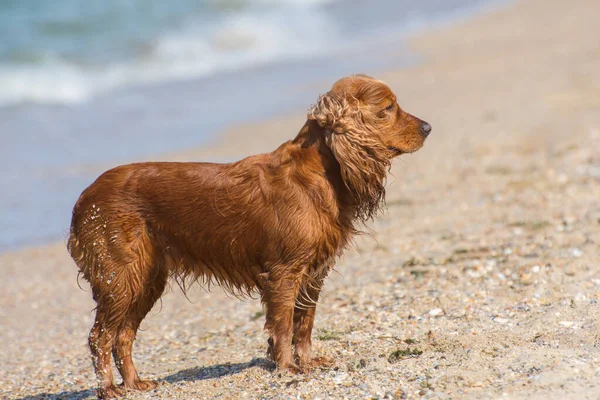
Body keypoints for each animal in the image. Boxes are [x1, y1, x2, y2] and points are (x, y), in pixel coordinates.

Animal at [68, 74, 428, 396]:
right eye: (388, 108)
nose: (428, 127)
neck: (318, 172)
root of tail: (84, 198)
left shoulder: (313, 274)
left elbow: (304, 325)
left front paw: (307, 363)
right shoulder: (284, 272)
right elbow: (283, 325)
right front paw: (287, 367)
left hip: (146, 279)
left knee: (123, 335)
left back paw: (134, 383)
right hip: (120, 277)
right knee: (100, 336)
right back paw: (109, 389)